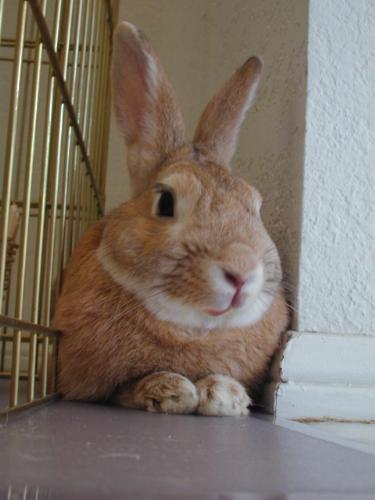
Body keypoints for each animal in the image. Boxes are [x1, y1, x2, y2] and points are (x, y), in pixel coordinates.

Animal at [52, 21, 288, 416]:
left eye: (254, 205)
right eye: (165, 202)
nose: (241, 272)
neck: (196, 330)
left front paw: (226, 397)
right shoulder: (82, 375)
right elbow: (123, 389)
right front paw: (171, 390)